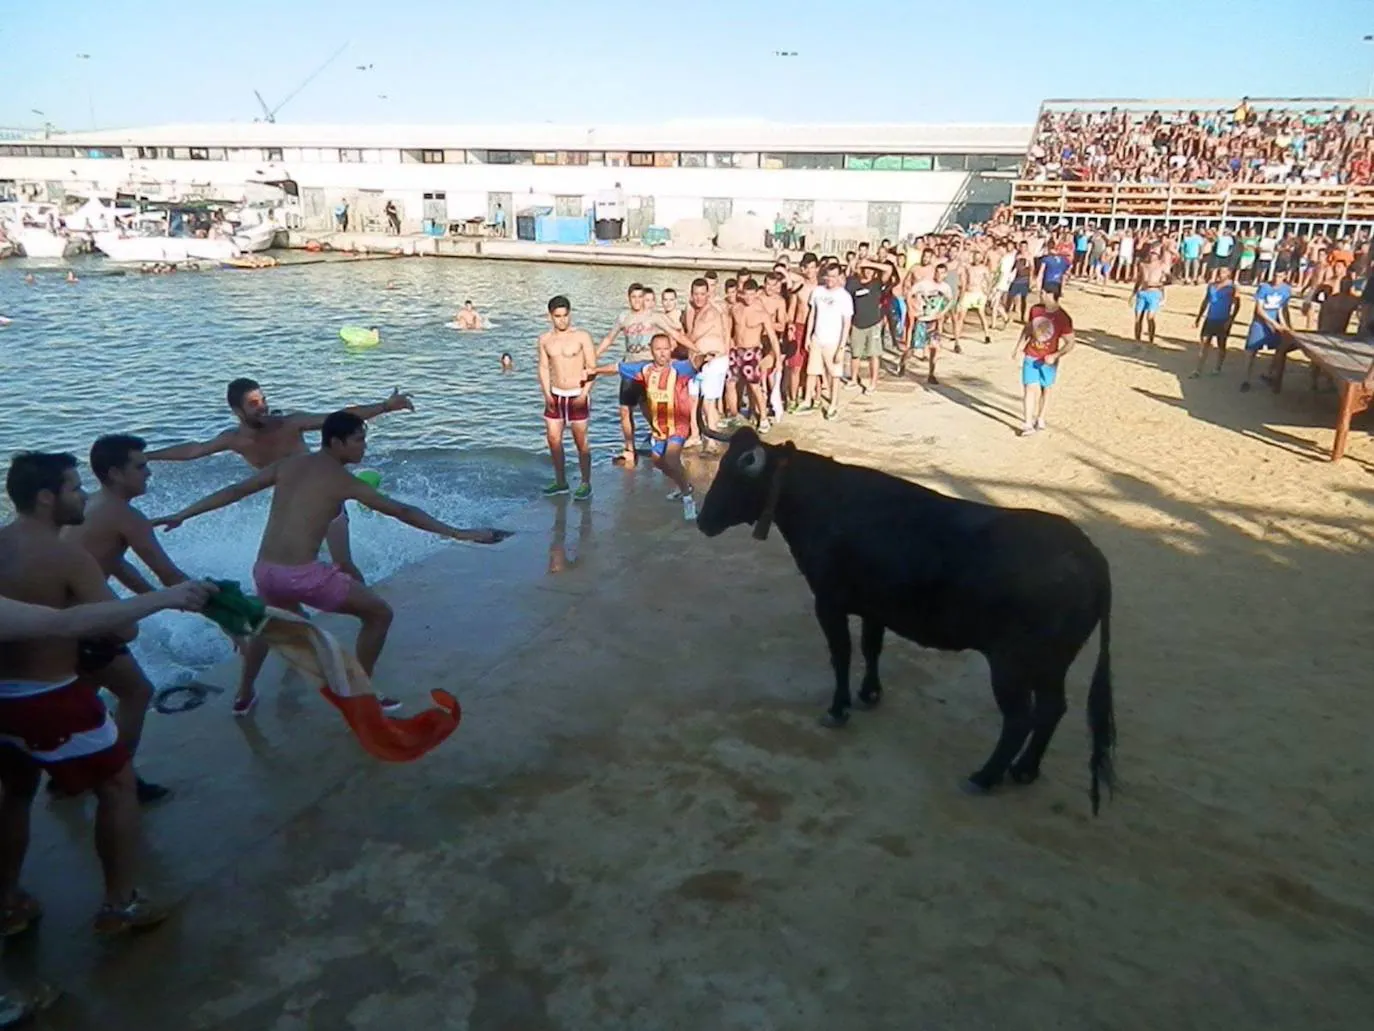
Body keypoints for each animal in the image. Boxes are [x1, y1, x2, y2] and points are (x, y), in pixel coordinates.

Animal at [697, 428, 1115, 813]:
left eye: (734, 476)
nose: (702, 521)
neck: (826, 503)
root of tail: (1092, 558)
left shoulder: (828, 603)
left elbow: (842, 653)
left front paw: (838, 708)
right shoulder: (874, 608)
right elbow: (871, 647)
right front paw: (870, 694)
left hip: (1011, 665)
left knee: (1018, 719)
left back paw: (984, 777)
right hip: (1052, 665)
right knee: (1051, 709)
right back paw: (1025, 770)